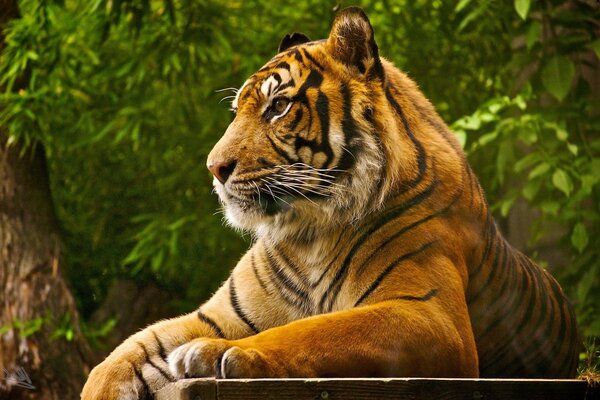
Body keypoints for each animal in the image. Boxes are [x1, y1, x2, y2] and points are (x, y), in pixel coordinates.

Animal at [81, 6, 580, 400]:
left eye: (278, 107)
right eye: (238, 111)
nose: (214, 168)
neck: (308, 231)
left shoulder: (431, 314)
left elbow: (312, 329)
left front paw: (225, 353)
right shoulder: (218, 314)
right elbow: (127, 351)